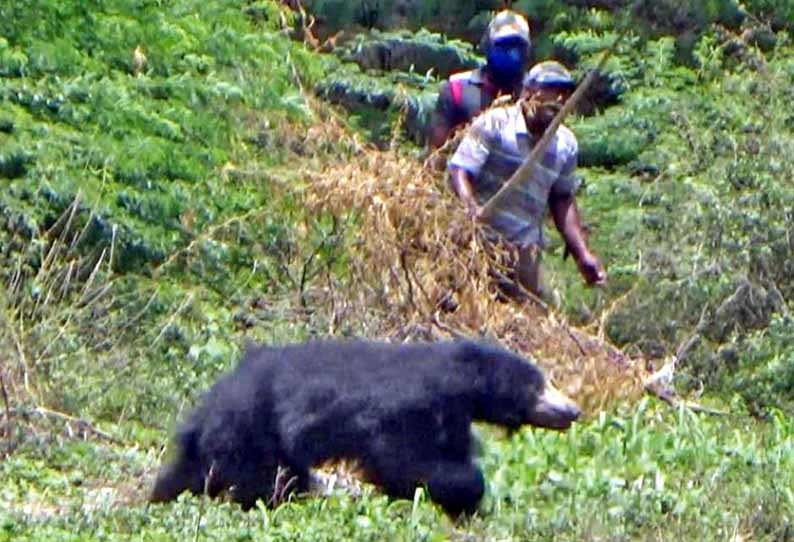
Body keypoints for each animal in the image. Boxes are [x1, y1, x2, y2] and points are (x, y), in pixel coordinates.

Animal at [152, 342, 580, 516]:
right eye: (538, 385)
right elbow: (407, 460)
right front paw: (462, 492)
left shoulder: (450, 417)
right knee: (266, 479)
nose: (573, 410)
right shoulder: (407, 409)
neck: (455, 382)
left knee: (187, 472)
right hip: (252, 431)